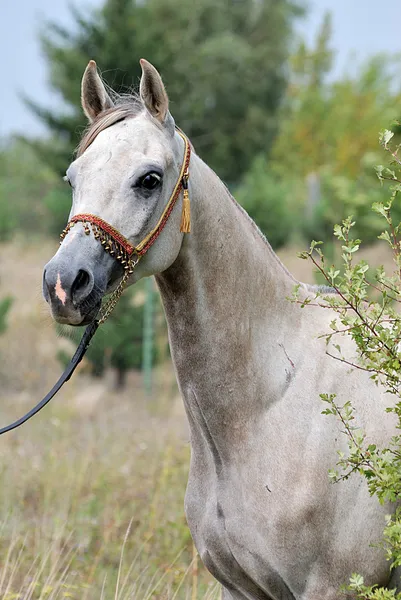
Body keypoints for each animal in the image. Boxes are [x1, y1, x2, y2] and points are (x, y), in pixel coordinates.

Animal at [42, 58, 398, 596]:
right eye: (71, 178)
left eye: (149, 179)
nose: (64, 284)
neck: (269, 400)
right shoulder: (238, 587)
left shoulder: (335, 587)